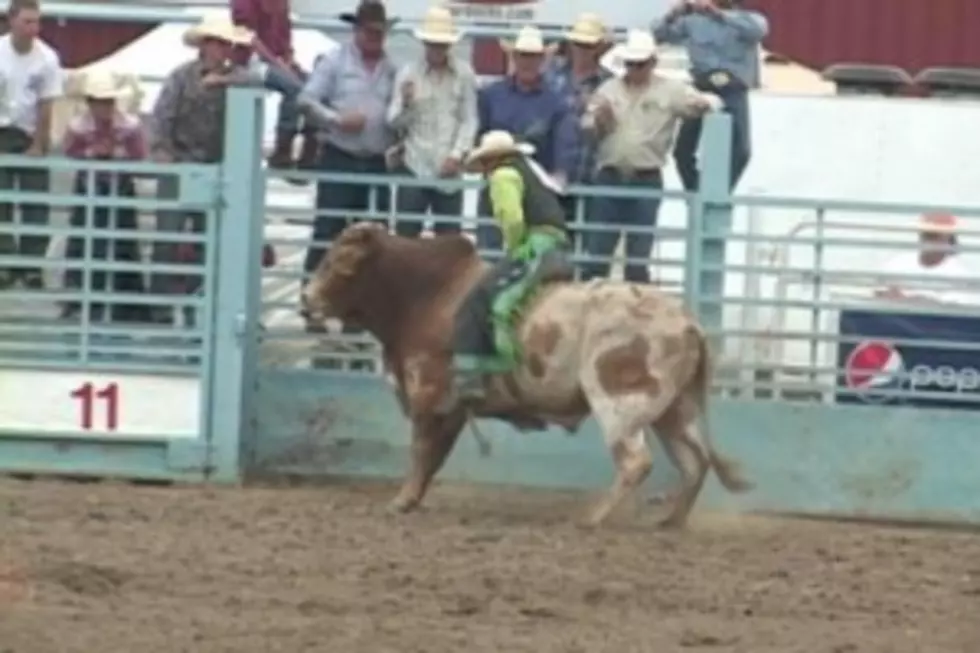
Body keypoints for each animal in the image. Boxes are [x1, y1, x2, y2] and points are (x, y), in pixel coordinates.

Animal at [302, 222, 756, 528]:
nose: (307, 300)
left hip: (621, 401)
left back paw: (592, 517)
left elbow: (420, 451)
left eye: (339, 263)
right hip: (674, 409)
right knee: (694, 463)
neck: (428, 295)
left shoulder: (428, 396)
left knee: (636, 462)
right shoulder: (453, 408)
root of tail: (687, 322)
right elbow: (433, 457)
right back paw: (670, 521)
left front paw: (401, 501)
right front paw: (412, 500)